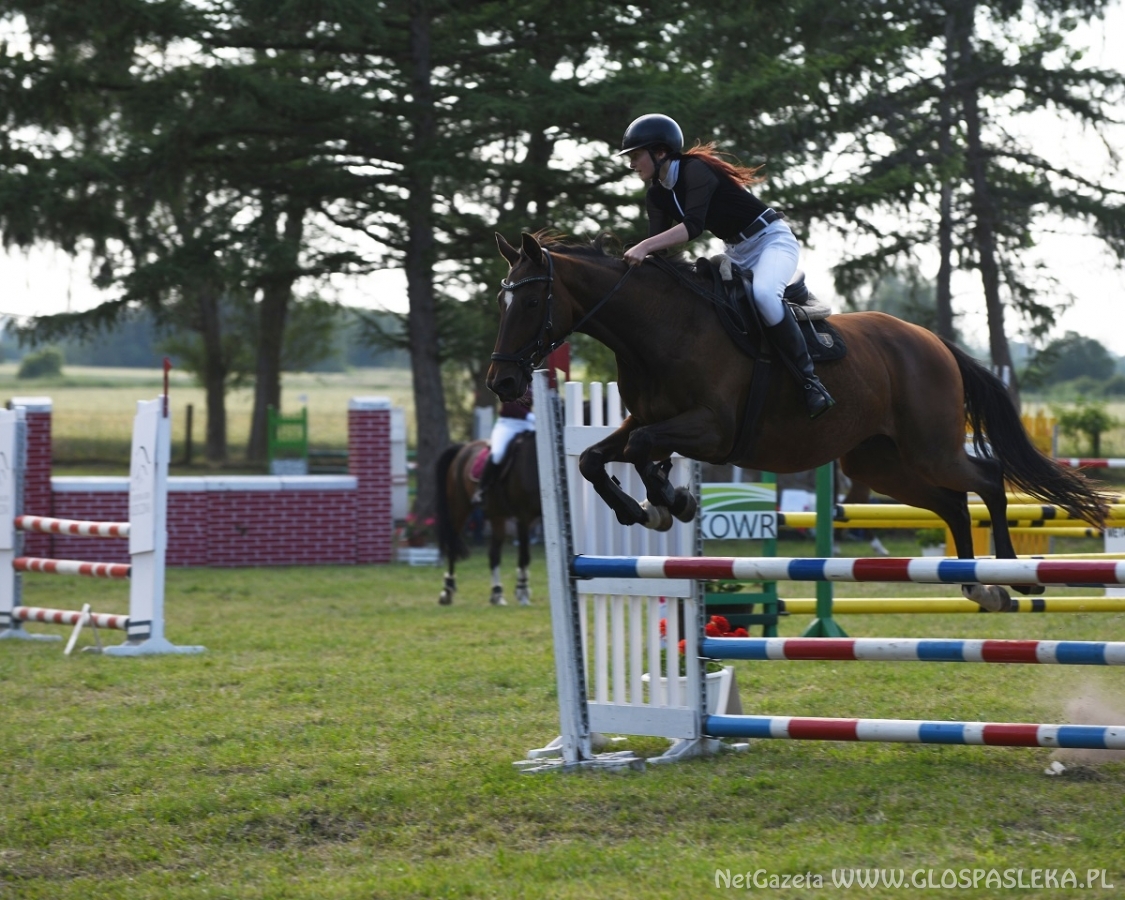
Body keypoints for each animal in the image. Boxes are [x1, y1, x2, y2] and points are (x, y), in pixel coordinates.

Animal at [434, 433, 541, 606]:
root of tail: (464, 447)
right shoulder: (523, 518)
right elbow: (524, 556)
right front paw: (522, 592)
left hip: (497, 516)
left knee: (494, 554)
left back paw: (497, 594)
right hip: (460, 508)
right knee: (452, 545)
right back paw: (447, 591)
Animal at [485, 231, 1108, 611]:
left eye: (530, 301)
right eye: (500, 301)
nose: (502, 385)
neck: (658, 327)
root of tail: (935, 342)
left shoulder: (711, 430)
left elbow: (640, 447)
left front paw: (670, 503)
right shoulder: (652, 419)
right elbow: (597, 457)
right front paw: (651, 507)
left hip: (930, 448)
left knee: (988, 481)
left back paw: (1007, 573)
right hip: (879, 463)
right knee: (953, 502)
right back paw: (977, 586)